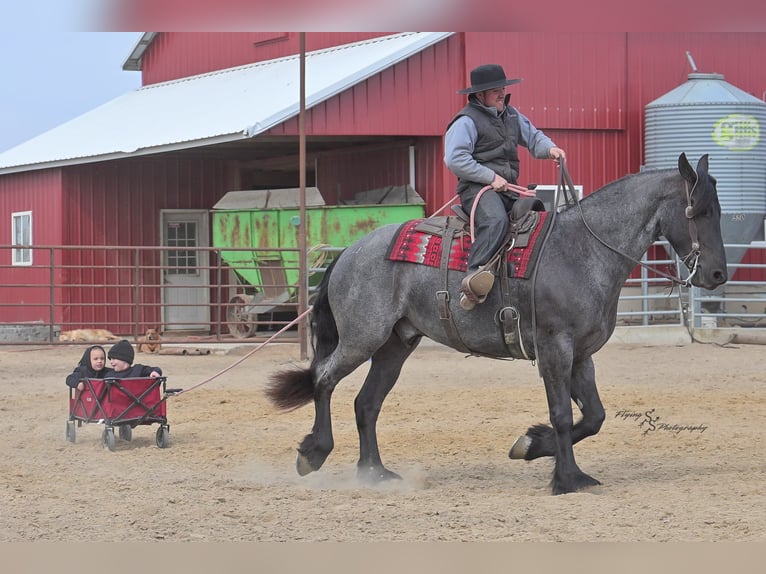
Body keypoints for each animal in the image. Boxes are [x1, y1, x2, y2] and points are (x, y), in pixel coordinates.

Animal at [266, 153, 728, 495]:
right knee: (324, 380)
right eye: (698, 210)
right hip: (362, 338)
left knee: (366, 403)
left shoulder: (581, 355)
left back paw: (374, 473)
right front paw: (567, 479)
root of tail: (350, 251)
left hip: (396, 344)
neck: (582, 250)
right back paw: (314, 453)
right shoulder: (554, 349)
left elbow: (594, 416)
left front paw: (532, 445)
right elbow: (563, 413)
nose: (718, 274)